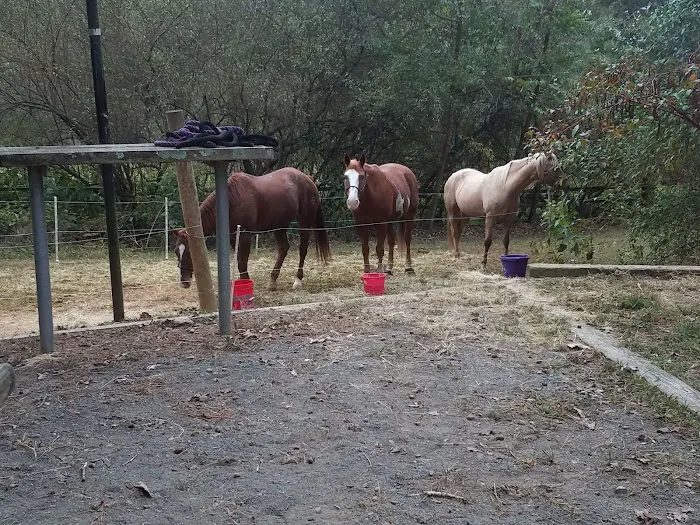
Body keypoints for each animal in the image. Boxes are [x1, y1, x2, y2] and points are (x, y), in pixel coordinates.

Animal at [174, 167, 331, 291]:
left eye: (190, 252)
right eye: (176, 251)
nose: (184, 282)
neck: (232, 200)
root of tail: (308, 178)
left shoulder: (245, 236)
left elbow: (242, 263)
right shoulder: (233, 237)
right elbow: (239, 261)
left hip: (304, 221)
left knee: (302, 249)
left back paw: (297, 281)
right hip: (279, 225)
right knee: (283, 249)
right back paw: (272, 281)